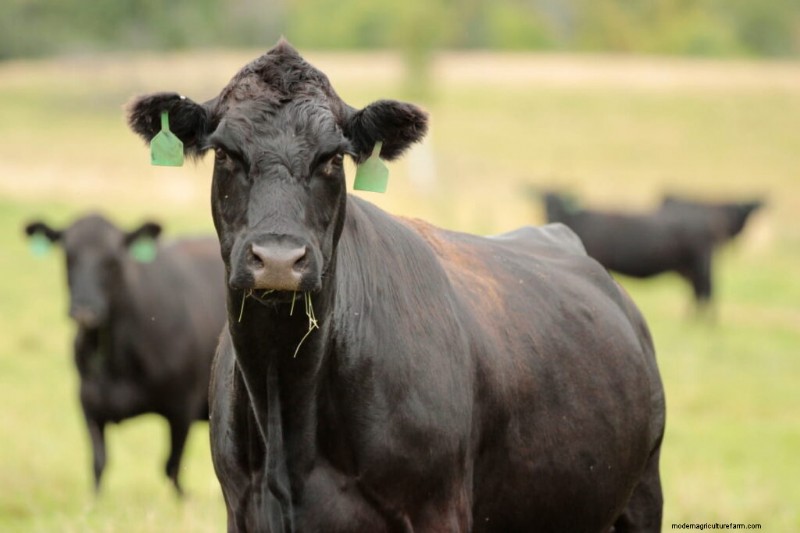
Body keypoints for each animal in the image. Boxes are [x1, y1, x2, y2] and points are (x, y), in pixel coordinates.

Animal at [24, 214, 226, 495]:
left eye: (112, 260)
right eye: (68, 255)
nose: (85, 309)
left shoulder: (182, 406)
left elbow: (172, 468)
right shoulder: (88, 401)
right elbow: (98, 462)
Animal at [127, 41, 665, 532]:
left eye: (332, 158)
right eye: (225, 152)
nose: (278, 259)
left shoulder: (437, 510)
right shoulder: (242, 509)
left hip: (643, 494)